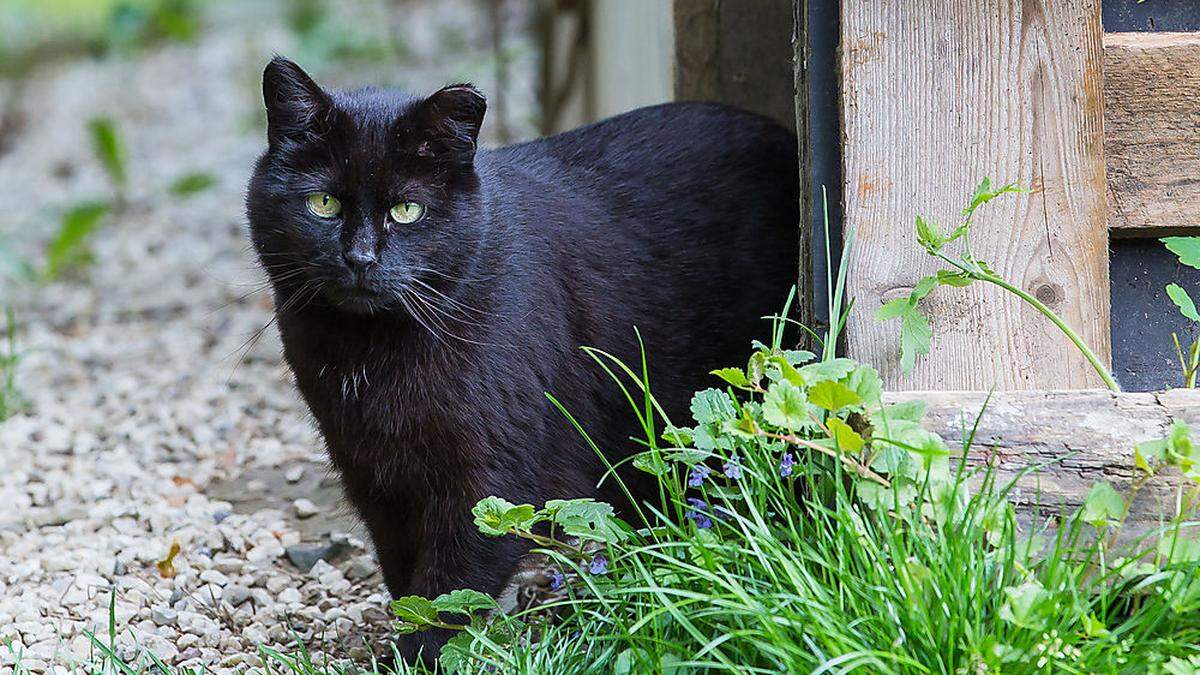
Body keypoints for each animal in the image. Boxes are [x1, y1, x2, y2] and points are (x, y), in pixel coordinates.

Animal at [246, 57, 796, 658]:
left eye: (407, 210)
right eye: (323, 204)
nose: (360, 257)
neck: (370, 354)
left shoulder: (492, 472)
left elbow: (449, 587)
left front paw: (419, 657)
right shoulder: (370, 470)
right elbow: (404, 573)